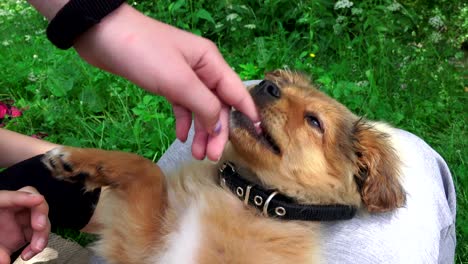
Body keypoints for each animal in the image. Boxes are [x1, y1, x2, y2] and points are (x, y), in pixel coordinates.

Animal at [42, 70, 406, 264]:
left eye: (314, 122)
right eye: (275, 82)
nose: (266, 84)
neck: (245, 195)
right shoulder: (141, 249)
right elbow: (146, 167)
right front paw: (79, 161)